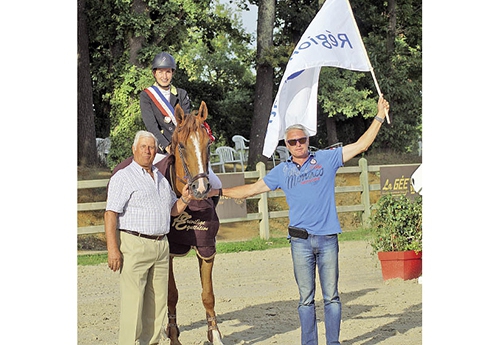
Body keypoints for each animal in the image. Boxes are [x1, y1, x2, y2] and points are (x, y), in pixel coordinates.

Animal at [152, 100, 223, 344]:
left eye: (208, 145)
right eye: (181, 146)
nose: (200, 188)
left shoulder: (206, 247)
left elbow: (208, 294)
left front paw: (215, 334)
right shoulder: (168, 252)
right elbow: (171, 295)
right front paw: (173, 335)